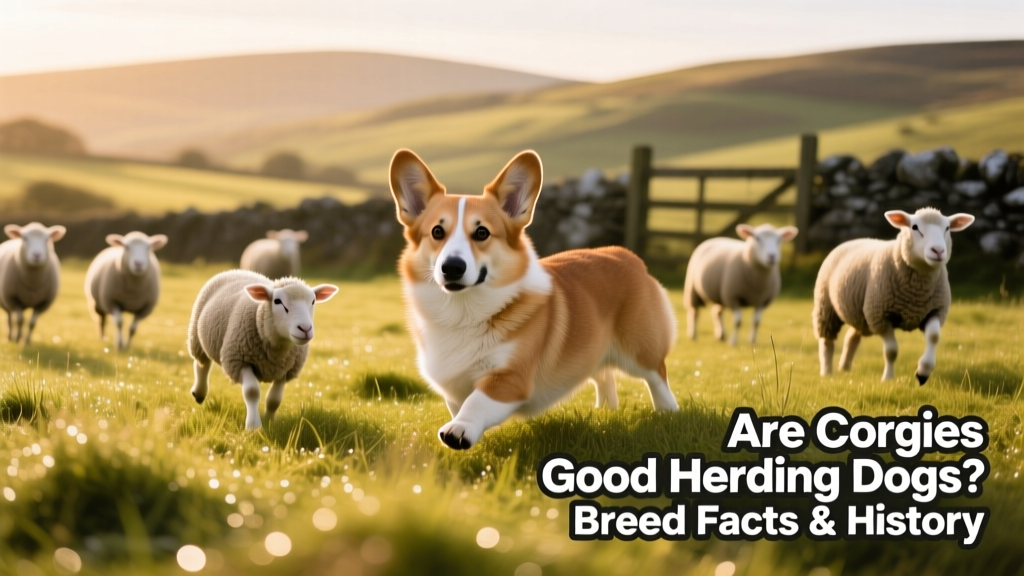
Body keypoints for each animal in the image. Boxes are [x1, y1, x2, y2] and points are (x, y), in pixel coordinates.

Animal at [187, 270, 338, 430]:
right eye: (277, 301)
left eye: (313, 301)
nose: (305, 328)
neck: (278, 349)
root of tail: (238, 270)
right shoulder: (240, 362)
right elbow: (252, 392)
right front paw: (253, 427)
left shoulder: (285, 370)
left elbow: (274, 400)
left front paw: (269, 422)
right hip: (196, 336)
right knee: (202, 364)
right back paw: (199, 393)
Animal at [813, 208, 974, 384]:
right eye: (914, 227)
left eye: (947, 228)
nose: (938, 251)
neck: (916, 292)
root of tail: (853, 240)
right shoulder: (880, 317)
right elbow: (891, 351)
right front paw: (888, 379)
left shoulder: (935, 311)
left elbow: (933, 337)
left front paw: (923, 372)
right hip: (826, 307)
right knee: (827, 341)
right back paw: (827, 372)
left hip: (862, 316)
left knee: (852, 337)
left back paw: (845, 367)